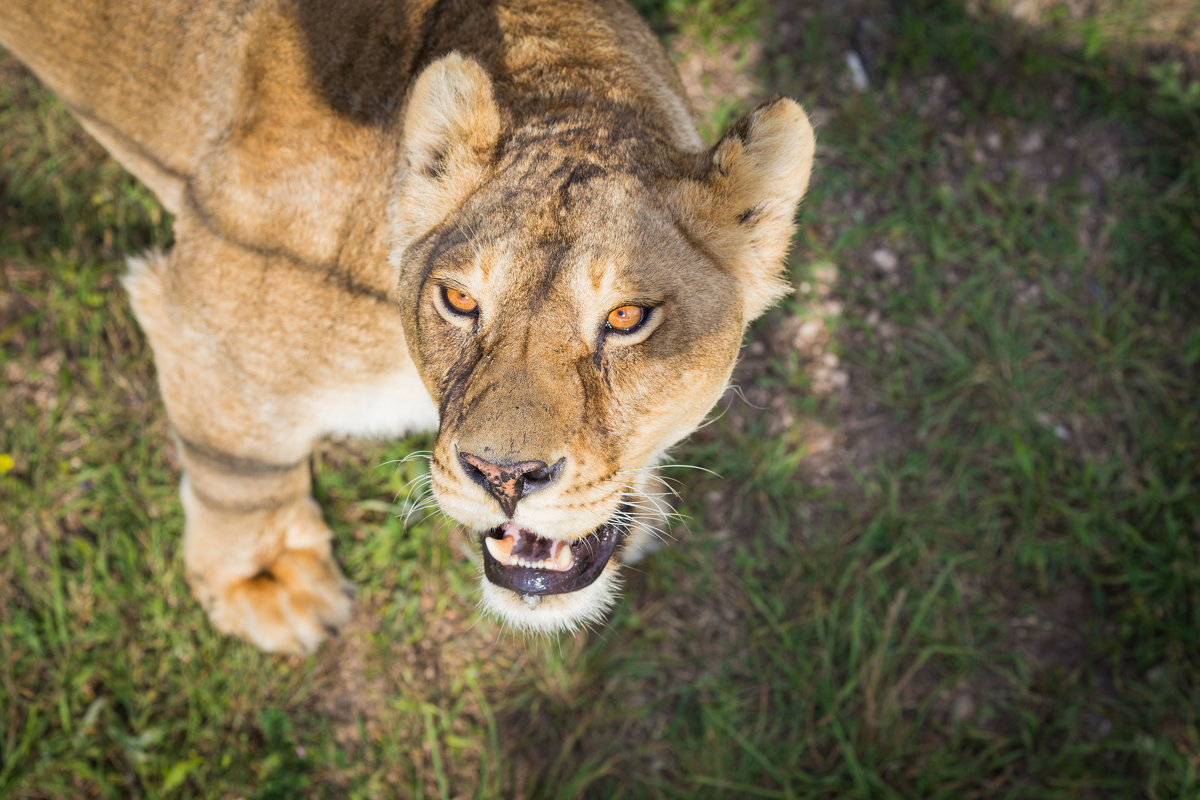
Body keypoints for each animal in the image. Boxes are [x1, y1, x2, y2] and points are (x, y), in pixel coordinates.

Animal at [0, 0, 811, 652]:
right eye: (458, 301)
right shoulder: (203, 325)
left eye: (626, 317)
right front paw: (262, 581)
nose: (505, 477)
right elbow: (243, 473)